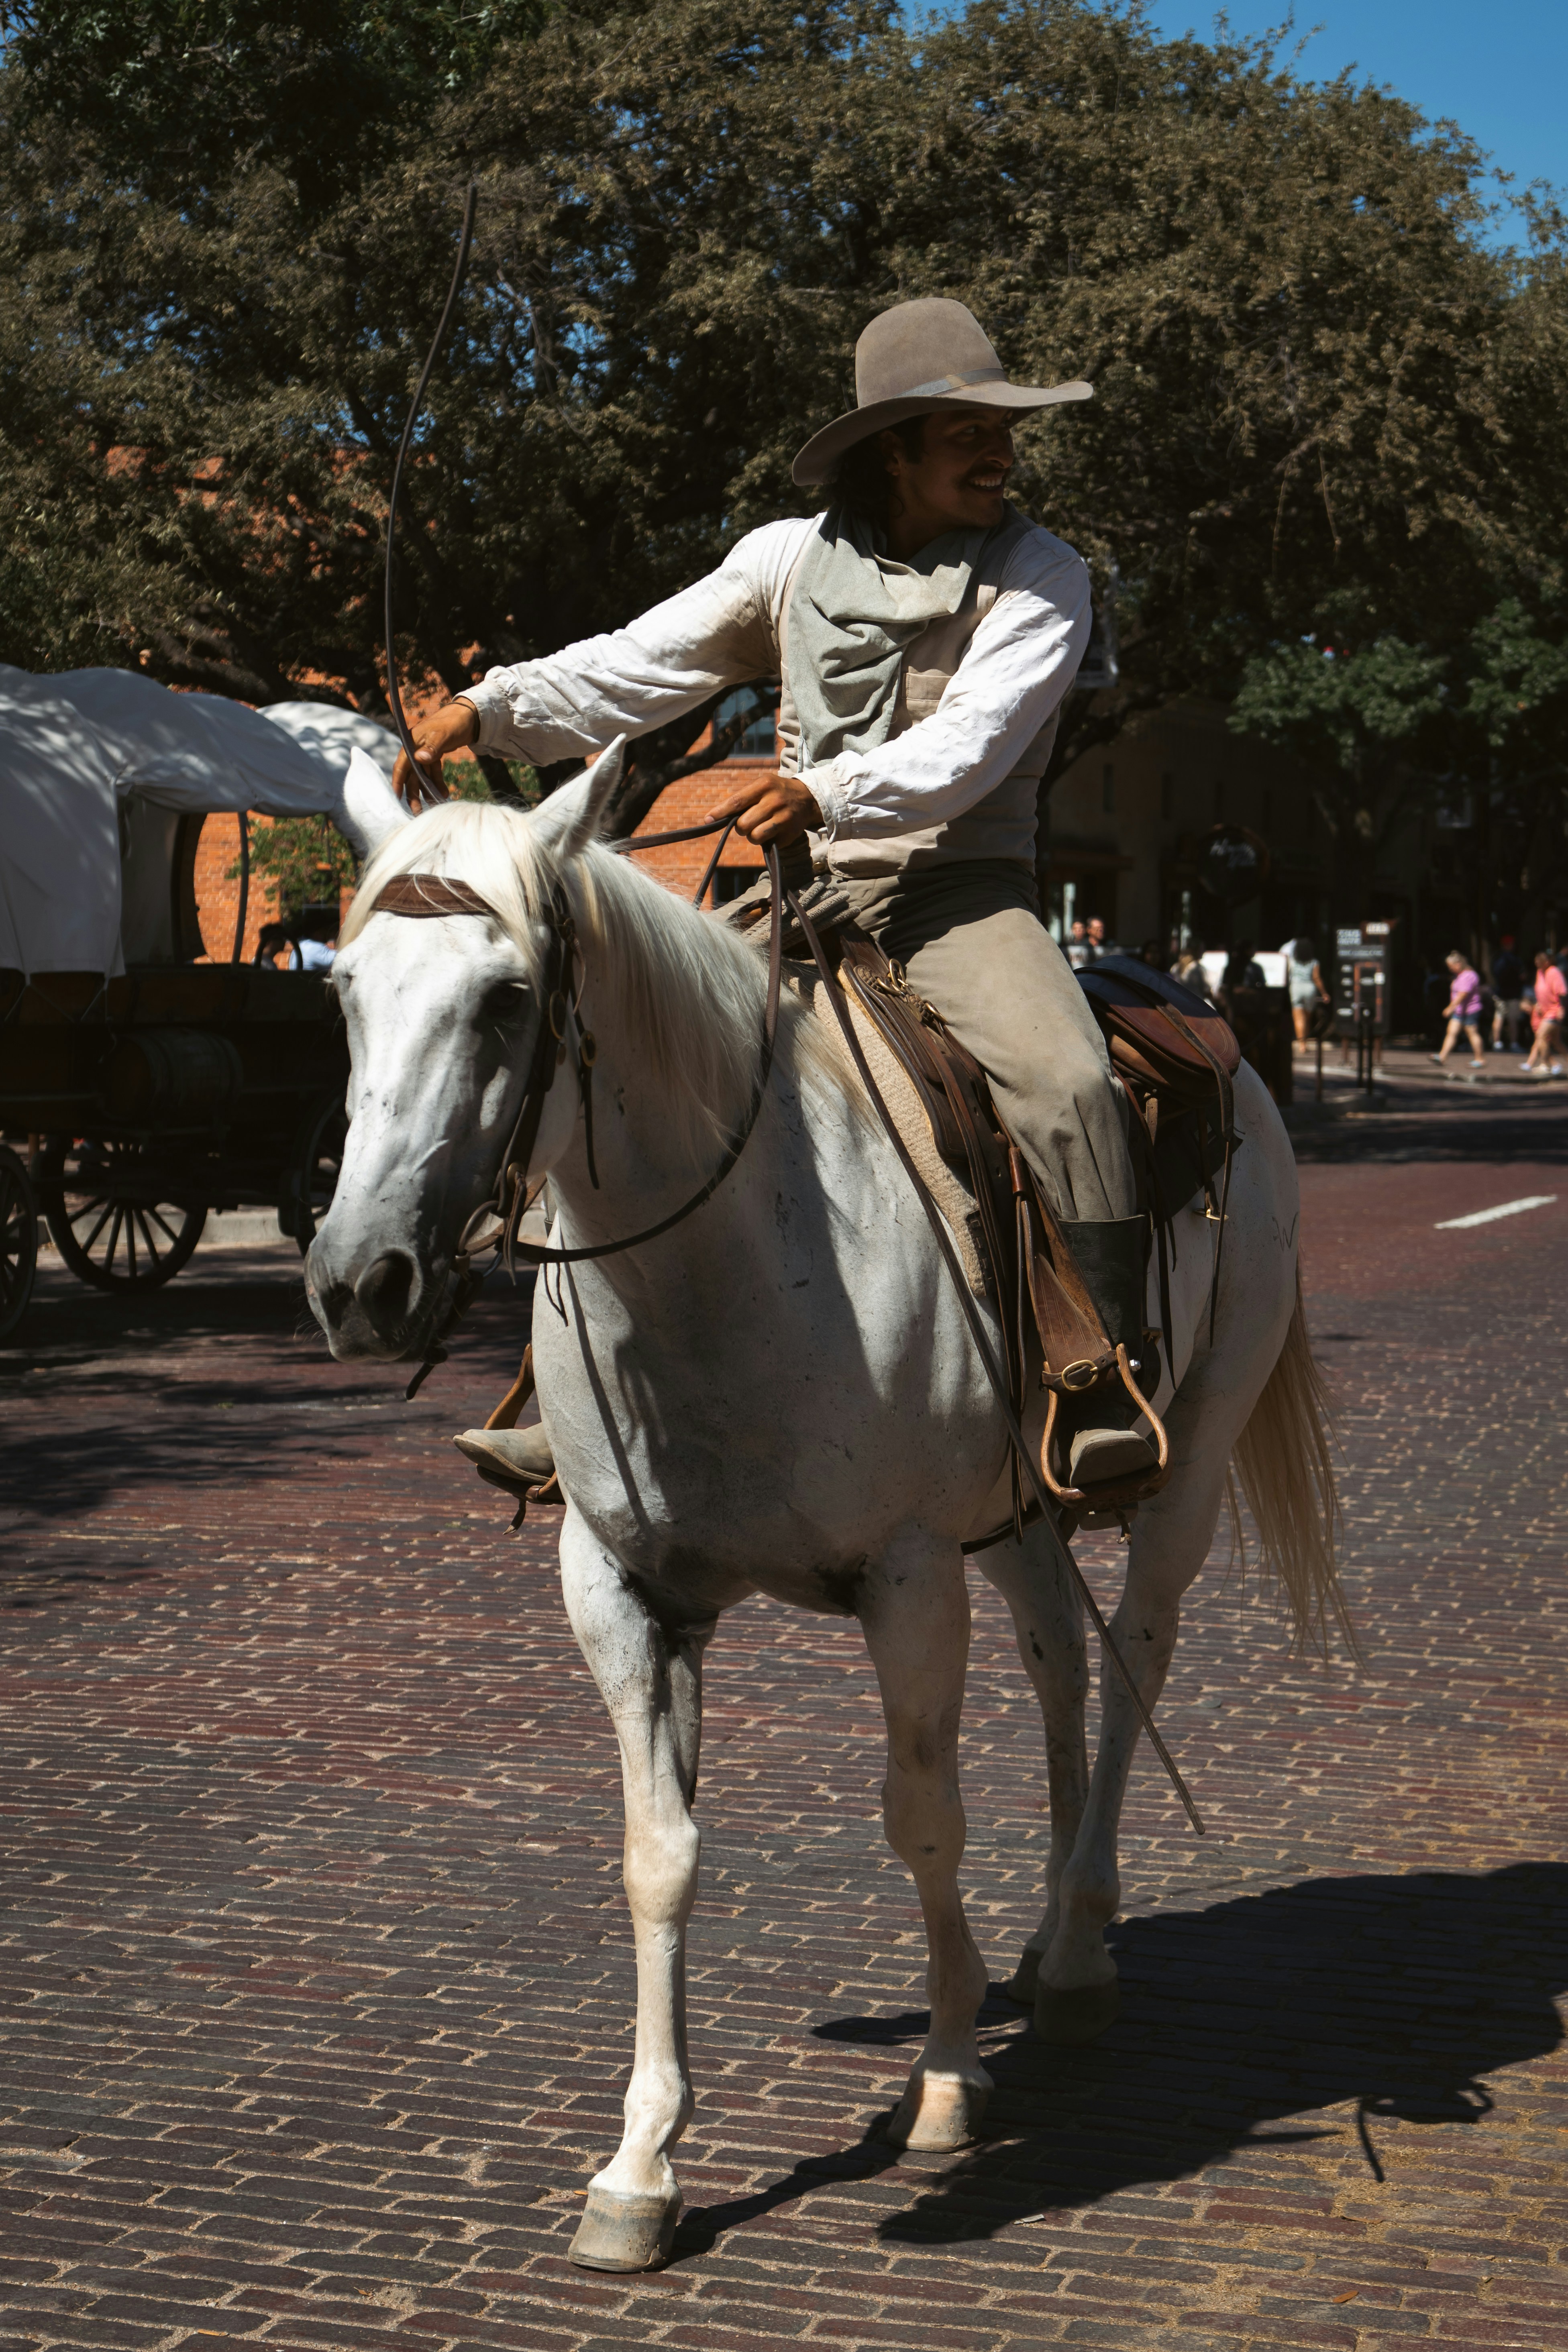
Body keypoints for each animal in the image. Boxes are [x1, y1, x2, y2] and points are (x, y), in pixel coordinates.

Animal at [306, 749, 1347, 2274]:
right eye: (345, 994)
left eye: (505, 998)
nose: (358, 1277)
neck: (721, 1260)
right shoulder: (617, 1588)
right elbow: (658, 1856)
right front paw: (639, 2165)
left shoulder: (906, 1576)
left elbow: (922, 1818)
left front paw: (948, 2075)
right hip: (1016, 1514)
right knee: (1060, 1661)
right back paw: (1046, 1931)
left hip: (1185, 1468)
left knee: (1130, 1660)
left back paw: (1076, 1946)